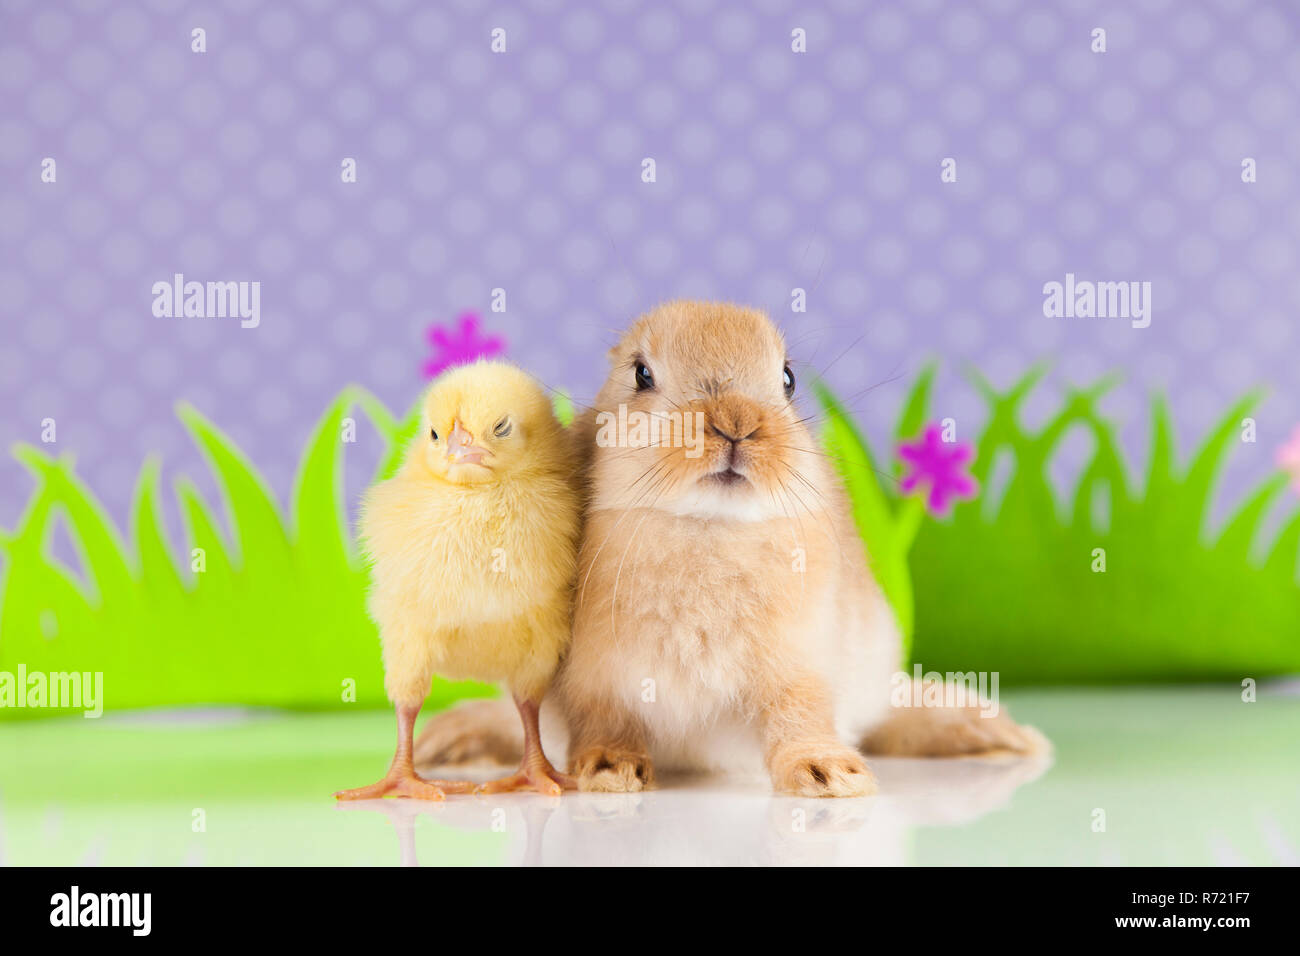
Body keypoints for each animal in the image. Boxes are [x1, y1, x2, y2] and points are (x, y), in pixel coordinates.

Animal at [416, 301, 1048, 796]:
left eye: (788, 378)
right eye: (640, 374)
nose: (735, 422)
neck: (707, 526)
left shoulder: (799, 666)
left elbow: (800, 718)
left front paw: (830, 776)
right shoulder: (592, 682)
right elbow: (605, 723)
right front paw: (610, 771)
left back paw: (995, 734)